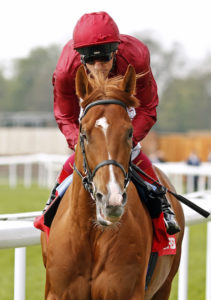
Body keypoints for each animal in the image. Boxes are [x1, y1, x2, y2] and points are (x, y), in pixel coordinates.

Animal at [40, 65, 183, 300]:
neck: (91, 233)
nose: (111, 199)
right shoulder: (58, 293)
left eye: (129, 132)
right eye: (84, 133)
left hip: (164, 286)